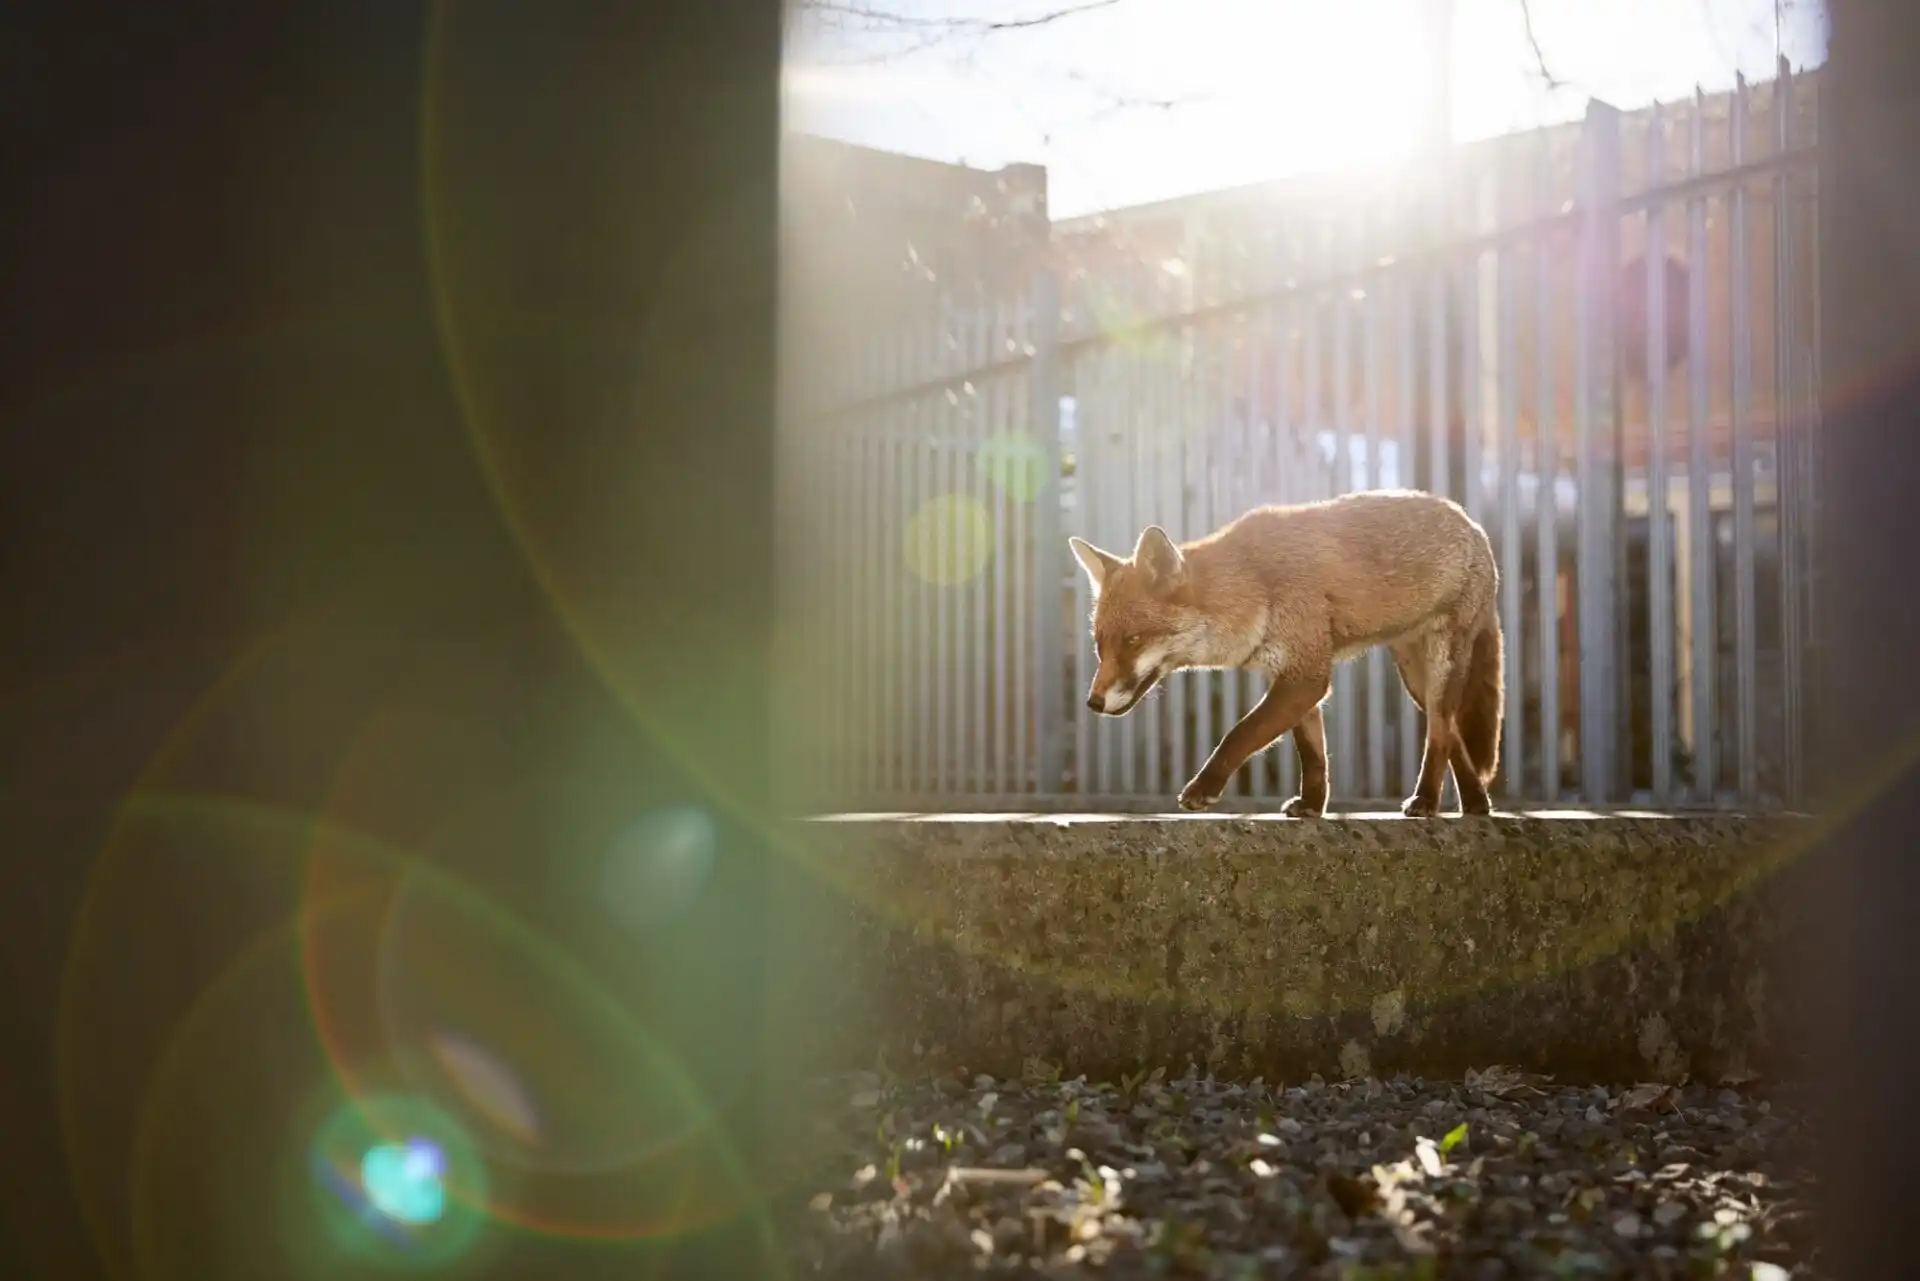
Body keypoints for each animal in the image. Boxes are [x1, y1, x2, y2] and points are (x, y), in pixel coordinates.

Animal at [1067, 491, 1497, 821]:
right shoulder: (1294, 678)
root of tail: (1470, 521)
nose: (1093, 702)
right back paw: (1476, 803)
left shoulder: (1306, 676)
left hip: (1439, 670)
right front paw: (1312, 806)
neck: (1254, 584)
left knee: (1439, 734)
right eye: (1100, 645)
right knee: (1452, 734)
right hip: (1415, 680)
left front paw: (1203, 787)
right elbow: (1313, 755)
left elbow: (1240, 733)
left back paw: (1426, 800)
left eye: (1133, 640)